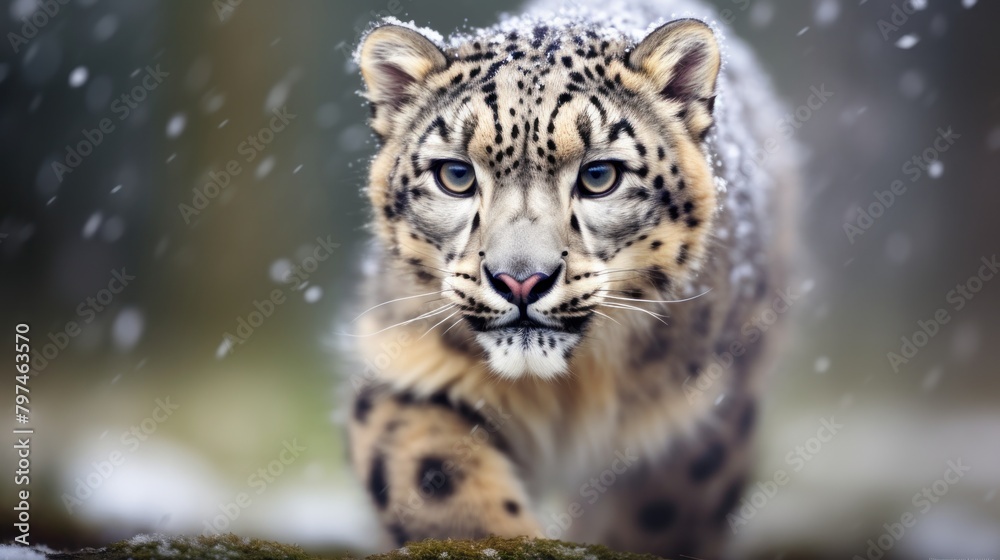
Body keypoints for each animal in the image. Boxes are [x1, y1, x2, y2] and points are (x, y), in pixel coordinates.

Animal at [344, 0, 798, 556]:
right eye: (455, 175)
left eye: (599, 176)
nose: (520, 281)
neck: (567, 392)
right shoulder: (413, 368)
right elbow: (438, 486)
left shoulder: (698, 418)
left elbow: (657, 521)